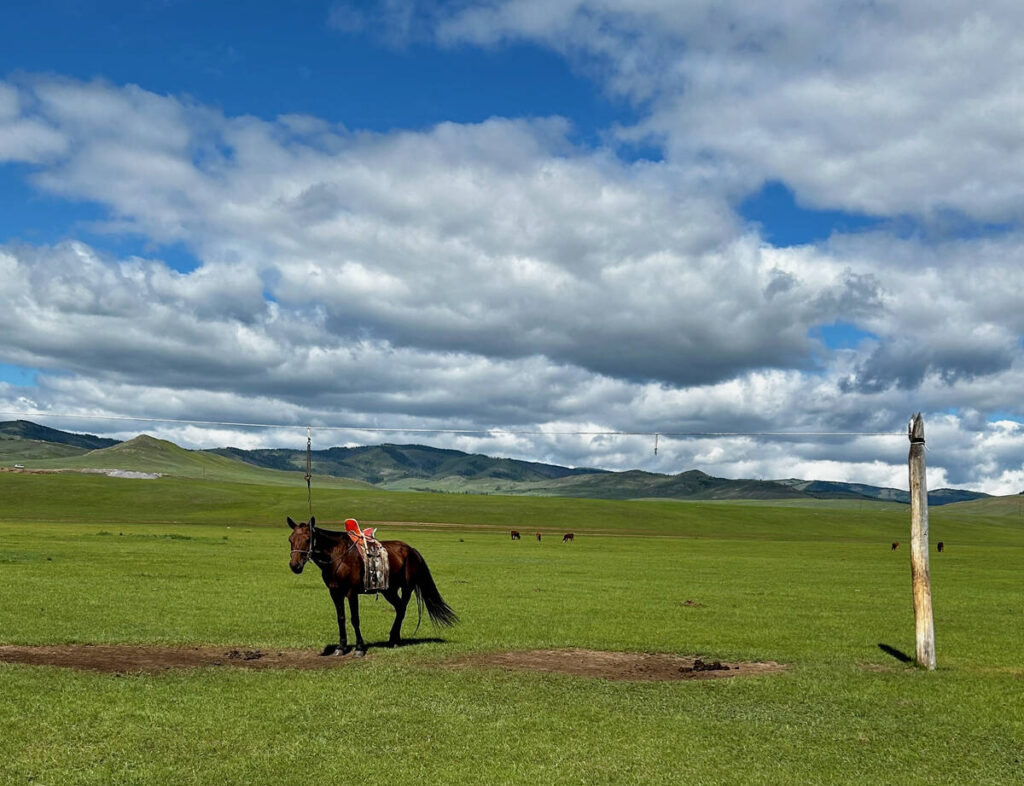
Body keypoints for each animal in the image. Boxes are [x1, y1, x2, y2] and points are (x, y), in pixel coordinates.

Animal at [287, 516, 458, 657]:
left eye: (308, 539)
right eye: (290, 539)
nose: (295, 565)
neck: (337, 556)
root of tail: (411, 550)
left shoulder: (351, 592)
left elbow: (355, 618)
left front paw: (359, 649)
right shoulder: (335, 592)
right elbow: (341, 618)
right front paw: (341, 647)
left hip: (407, 588)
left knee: (402, 608)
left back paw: (394, 640)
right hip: (389, 590)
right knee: (399, 608)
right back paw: (393, 638)